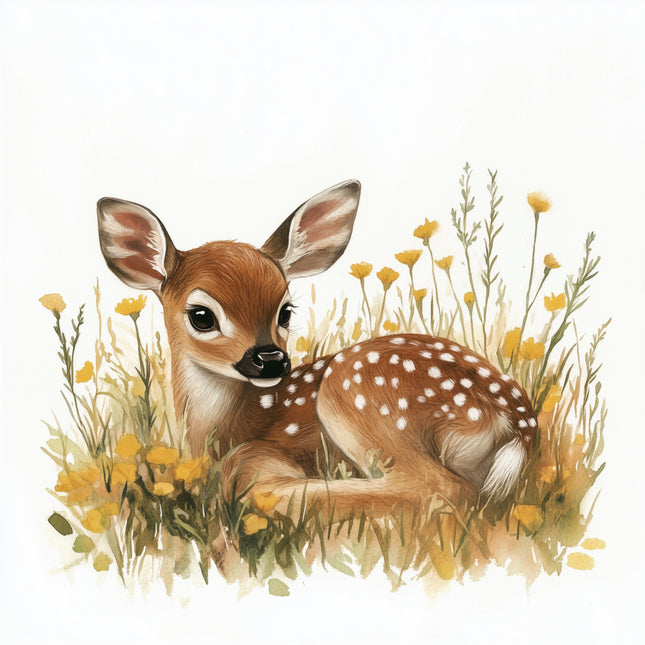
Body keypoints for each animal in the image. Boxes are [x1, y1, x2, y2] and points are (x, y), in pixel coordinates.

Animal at [97, 180, 537, 520]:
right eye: (202, 316)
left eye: (285, 311)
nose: (271, 359)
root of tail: (516, 424)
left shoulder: (261, 449)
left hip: (356, 396)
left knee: (441, 490)